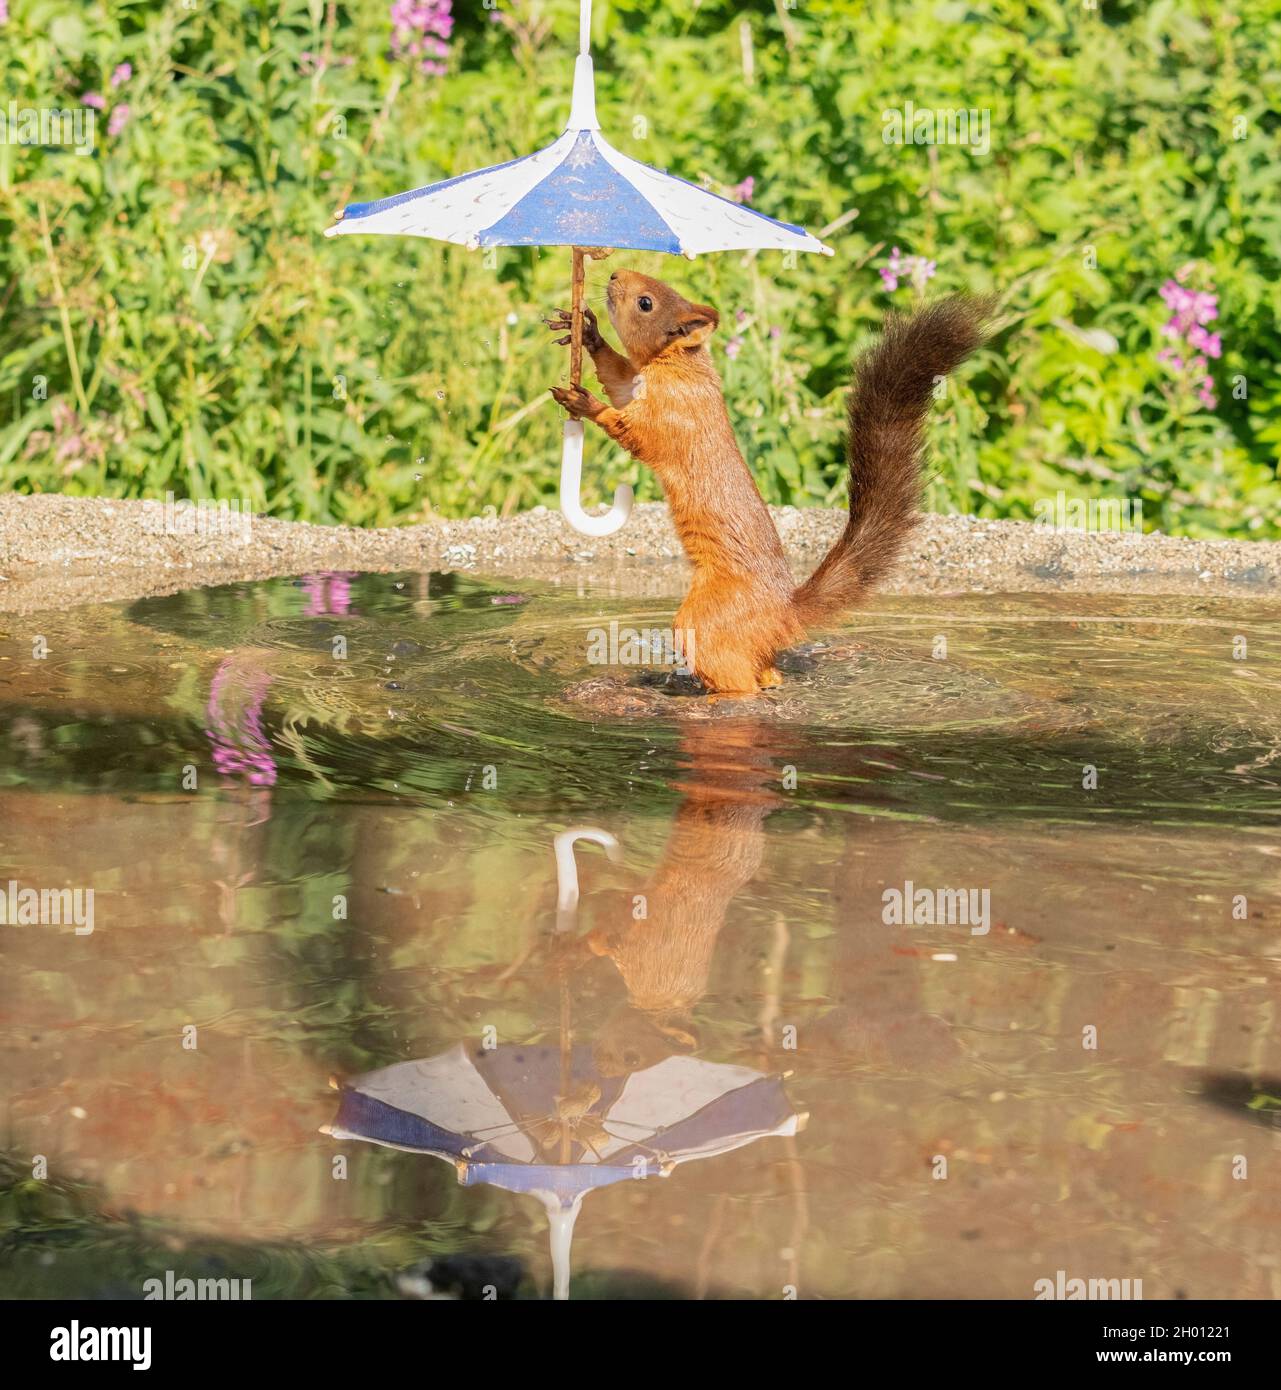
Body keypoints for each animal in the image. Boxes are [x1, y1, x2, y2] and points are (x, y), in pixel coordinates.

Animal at [548, 269, 988, 694]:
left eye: (646, 303)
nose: (614, 276)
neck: (680, 366)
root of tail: (784, 615)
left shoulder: (670, 416)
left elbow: (632, 430)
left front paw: (583, 402)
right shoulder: (635, 386)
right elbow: (618, 378)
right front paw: (588, 333)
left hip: (706, 619)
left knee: (737, 680)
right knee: (766, 674)